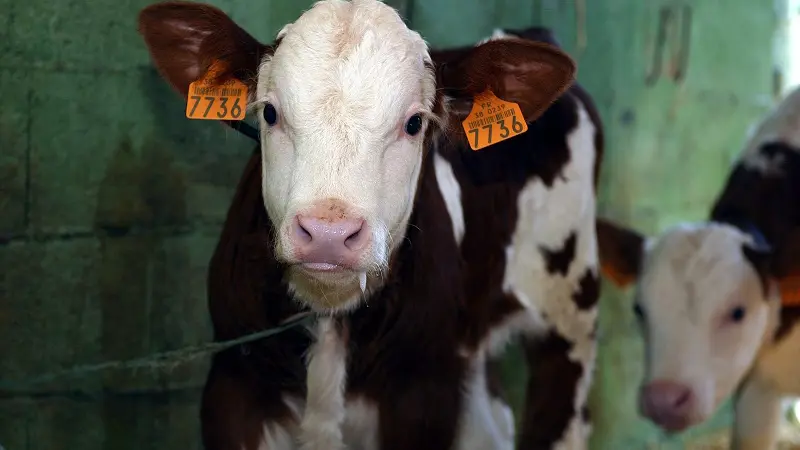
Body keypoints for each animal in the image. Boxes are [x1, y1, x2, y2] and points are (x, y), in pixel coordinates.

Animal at [138, 1, 604, 448]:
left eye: (414, 123)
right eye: (269, 113)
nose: (328, 233)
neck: (329, 312)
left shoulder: (423, 393)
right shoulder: (233, 385)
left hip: (572, 311)